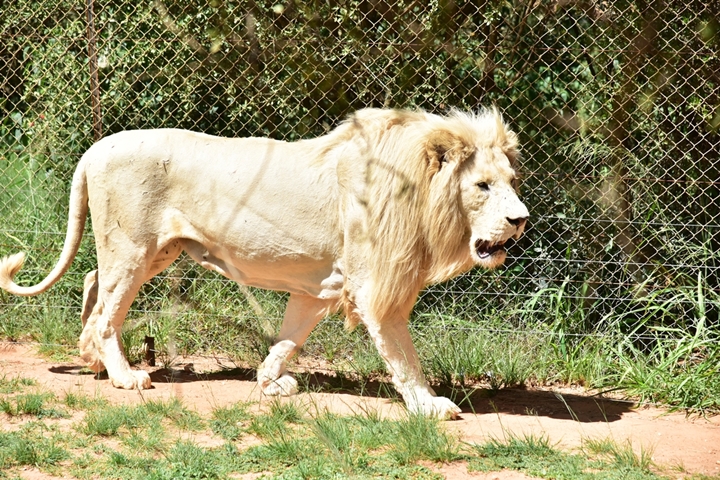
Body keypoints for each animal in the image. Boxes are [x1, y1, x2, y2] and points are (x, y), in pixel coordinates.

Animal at [0, 108, 528, 419]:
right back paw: (124, 375)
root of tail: (95, 148)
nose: (520, 220)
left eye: (511, 181)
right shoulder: (375, 285)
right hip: (132, 248)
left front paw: (270, 382)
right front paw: (428, 404)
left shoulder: (321, 284)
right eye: (481, 186)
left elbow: (291, 336)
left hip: (157, 250)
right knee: (108, 310)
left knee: (93, 282)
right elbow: (402, 354)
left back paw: (92, 361)